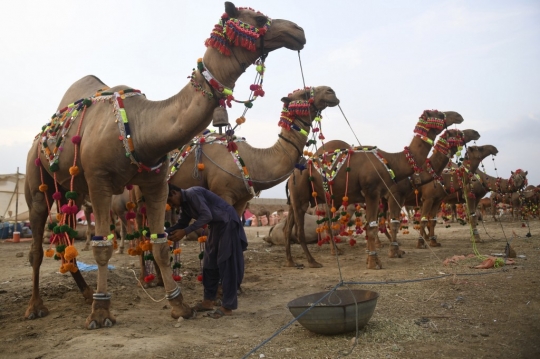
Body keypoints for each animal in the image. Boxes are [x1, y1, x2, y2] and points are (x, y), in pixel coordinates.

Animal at [24, 1, 304, 330]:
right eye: (259, 18)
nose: (298, 31)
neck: (139, 127)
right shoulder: (100, 181)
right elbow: (102, 247)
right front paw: (101, 313)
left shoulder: (155, 182)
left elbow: (159, 243)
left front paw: (179, 305)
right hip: (39, 177)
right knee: (36, 245)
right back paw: (36, 306)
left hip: (72, 189)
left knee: (66, 232)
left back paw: (84, 292)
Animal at [282, 109, 464, 270]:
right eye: (439, 114)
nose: (459, 116)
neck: (391, 161)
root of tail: (292, 175)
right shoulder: (373, 192)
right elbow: (373, 226)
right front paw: (375, 262)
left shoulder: (381, 195)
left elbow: (379, 224)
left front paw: (381, 256)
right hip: (301, 196)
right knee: (300, 230)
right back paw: (312, 261)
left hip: (301, 199)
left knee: (288, 228)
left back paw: (291, 261)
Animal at [380, 128, 480, 258]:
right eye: (456, 132)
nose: (475, 132)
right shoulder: (422, 198)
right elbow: (422, 219)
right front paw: (420, 244)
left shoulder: (432, 200)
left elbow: (429, 220)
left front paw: (432, 241)